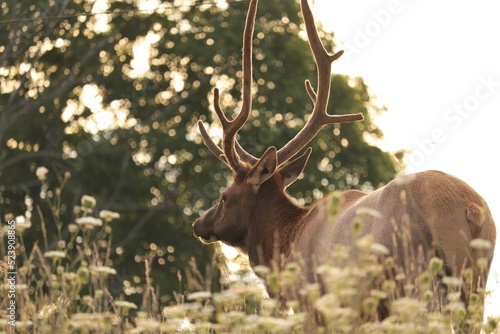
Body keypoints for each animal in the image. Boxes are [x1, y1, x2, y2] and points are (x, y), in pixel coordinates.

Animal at [191, 0, 496, 320]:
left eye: (224, 196)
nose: (198, 223)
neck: (287, 245)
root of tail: (472, 210)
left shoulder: (317, 303)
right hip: (475, 281)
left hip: (415, 278)